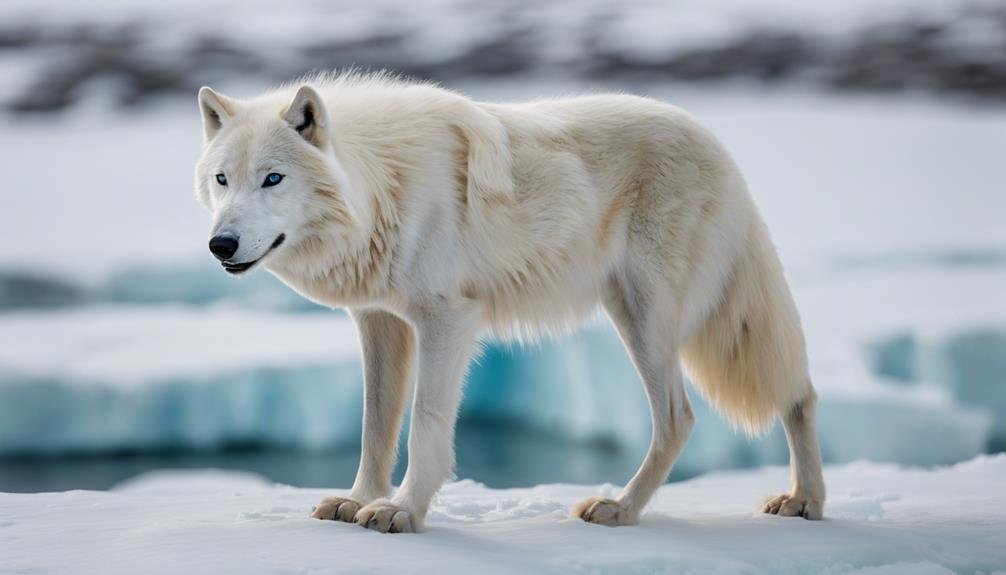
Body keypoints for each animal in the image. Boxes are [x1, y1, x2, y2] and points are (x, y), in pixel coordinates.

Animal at [194, 71, 824, 534]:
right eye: (223, 180)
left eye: (273, 179)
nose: (220, 245)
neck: (382, 185)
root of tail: (718, 146)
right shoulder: (380, 322)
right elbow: (375, 428)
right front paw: (356, 501)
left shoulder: (447, 318)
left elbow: (425, 425)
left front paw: (402, 511)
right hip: (639, 315)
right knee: (793, 395)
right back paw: (803, 500)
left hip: (649, 320)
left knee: (687, 417)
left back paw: (625, 510)